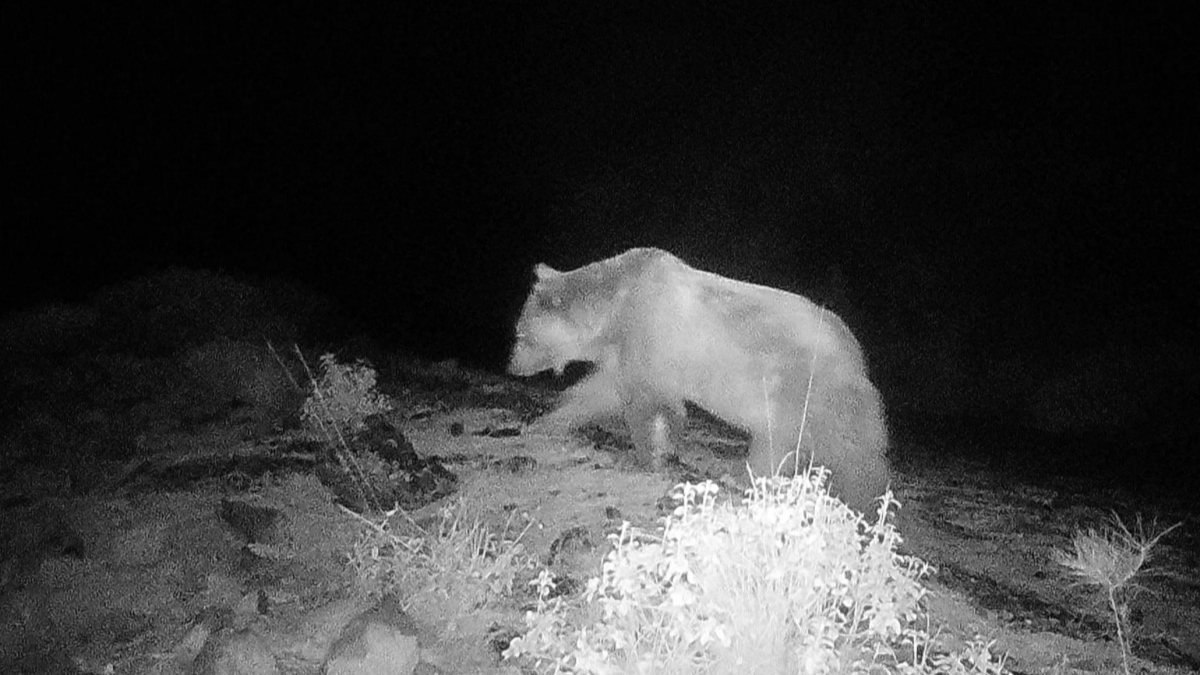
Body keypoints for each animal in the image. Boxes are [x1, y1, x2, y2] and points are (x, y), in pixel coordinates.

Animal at [506, 249, 892, 511]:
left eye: (520, 334)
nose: (511, 366)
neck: (612, 311)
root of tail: (859, 356)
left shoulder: (649, 332)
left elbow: (643, 400)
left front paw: (649, 455)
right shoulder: (628, 351)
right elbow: (600, 392)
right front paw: (546, 422)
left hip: (809, 390)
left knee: (851, 455)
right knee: (778, 444)